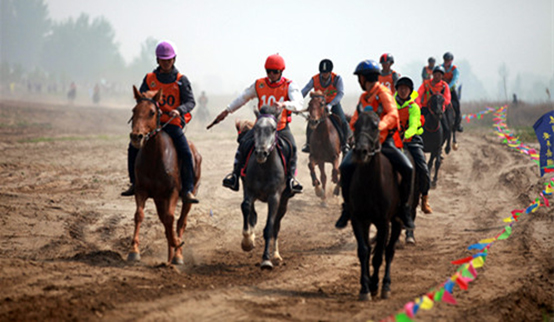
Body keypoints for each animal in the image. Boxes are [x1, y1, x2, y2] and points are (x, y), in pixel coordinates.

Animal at [127, 85, 201, 264]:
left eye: (152, 112)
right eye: (134, 110)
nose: (136, 136)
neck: (155, 158)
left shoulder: (172, 192)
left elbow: (170, 219)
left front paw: (177, 244)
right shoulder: (141, 190)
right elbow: (139, 215)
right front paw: (134, 251)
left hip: (190, 195)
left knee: (181, 222)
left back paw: (177, 255)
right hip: (159, 199)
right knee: (166, 221)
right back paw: (169, 257)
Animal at [239, 105, 292, 270]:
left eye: (274, 129)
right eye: (256, 127)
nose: (261, 153)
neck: (264, 168)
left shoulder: (274, 197)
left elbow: (269, 227)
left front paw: (266, 260)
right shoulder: (248, 190)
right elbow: (246, 207)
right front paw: (247, 241)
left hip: (284, 202)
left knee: (276, 226)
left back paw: (276, 255)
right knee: (253, 214)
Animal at [350, 109, 402, 300]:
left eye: (375, 126)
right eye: (356, 124)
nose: (361, 151)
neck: (370, 184)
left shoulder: (383, 222)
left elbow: (379, 254)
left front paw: (374, 284)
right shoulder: (358, 219)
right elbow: (363, 251)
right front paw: (364, 287)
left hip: (397, 221)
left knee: (389, 250)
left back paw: (385, 285)